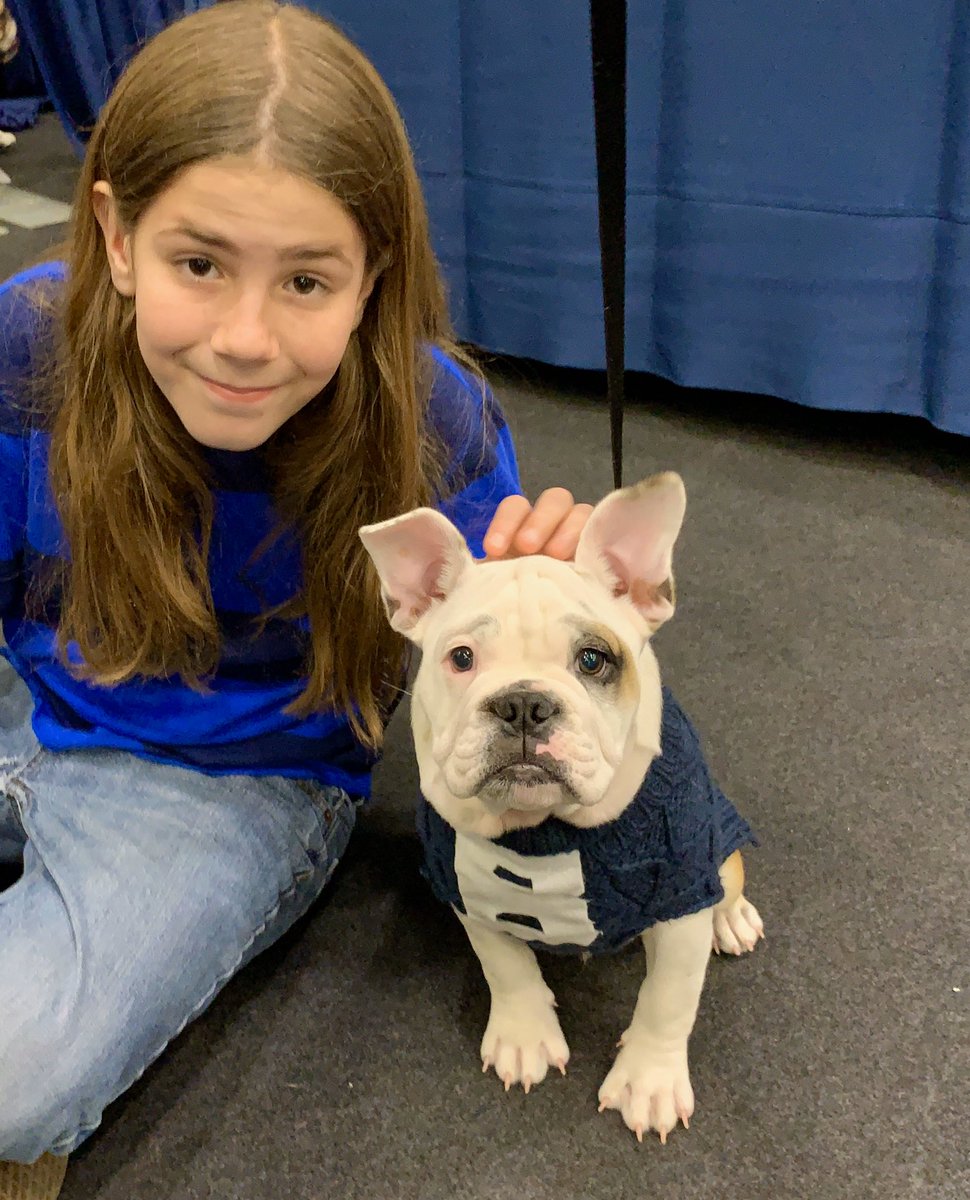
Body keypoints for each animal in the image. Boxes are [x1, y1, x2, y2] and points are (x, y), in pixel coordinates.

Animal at [360, 470, 763, 1142]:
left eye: (593, 660)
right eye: (461, 658)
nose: (523, 703)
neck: (543, 829)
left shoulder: (681, 895)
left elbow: (668, 998)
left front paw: (649, 1080)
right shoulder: (467, 893)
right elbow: (505, 964)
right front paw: (524, 1034)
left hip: (717, 854)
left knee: (728, 882)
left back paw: (731, 919)